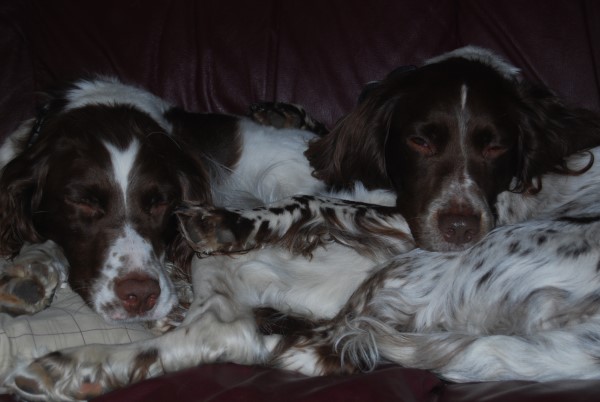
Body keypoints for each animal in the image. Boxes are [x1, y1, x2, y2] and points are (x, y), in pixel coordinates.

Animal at [5, 46, 600, 400]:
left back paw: (73, 365)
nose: (140, 296)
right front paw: (28, 274)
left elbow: (309, 204)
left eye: (159, 202)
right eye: (82, 203)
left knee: (237, 332)